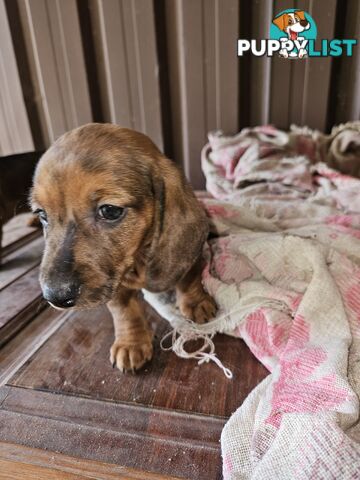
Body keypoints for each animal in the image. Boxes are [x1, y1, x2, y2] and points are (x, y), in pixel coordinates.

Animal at [31, 124, 217, 372]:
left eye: (110, 210)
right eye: (42, 214)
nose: (55, 297)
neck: (139, 258)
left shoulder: (191, 257)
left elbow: (190, 279)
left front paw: (197, 304)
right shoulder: (114, 283)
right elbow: (125, 311)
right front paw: (131, 344)